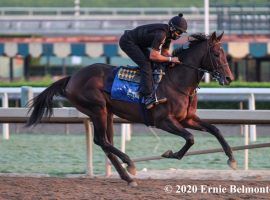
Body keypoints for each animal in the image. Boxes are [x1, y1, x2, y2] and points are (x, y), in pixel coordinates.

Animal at [25, 31, 236, 186]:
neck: (177, 82)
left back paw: (128, 178)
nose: (229, 78)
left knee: (105, 143)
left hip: (107, 113)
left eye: (225, 54)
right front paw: (171, 153)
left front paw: (232, 159)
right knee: (101, 140)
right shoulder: (163, 121)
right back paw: (130, 164)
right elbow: (190, 138)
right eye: (216, 54)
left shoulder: (187, 118)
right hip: (97, 109)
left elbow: (215, 129)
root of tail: (72, 78)